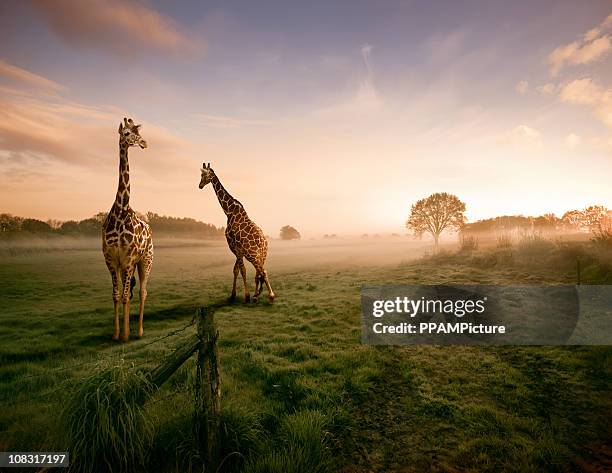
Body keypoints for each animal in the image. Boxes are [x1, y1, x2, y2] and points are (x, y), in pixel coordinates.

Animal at [198, 162, 274, 302]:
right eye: (201, 175)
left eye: (205, 175)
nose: (200, 185)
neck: (229, 211)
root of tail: (263, 242)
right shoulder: (237, 249)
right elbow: (236, 269)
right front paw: (234, 294)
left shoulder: (235, 247)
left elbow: (242, 270)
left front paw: (246, 296)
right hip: (263, 254)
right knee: (259, 272)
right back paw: (257, 295)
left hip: (252, 254)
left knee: (262, 271)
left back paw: (270, 296)